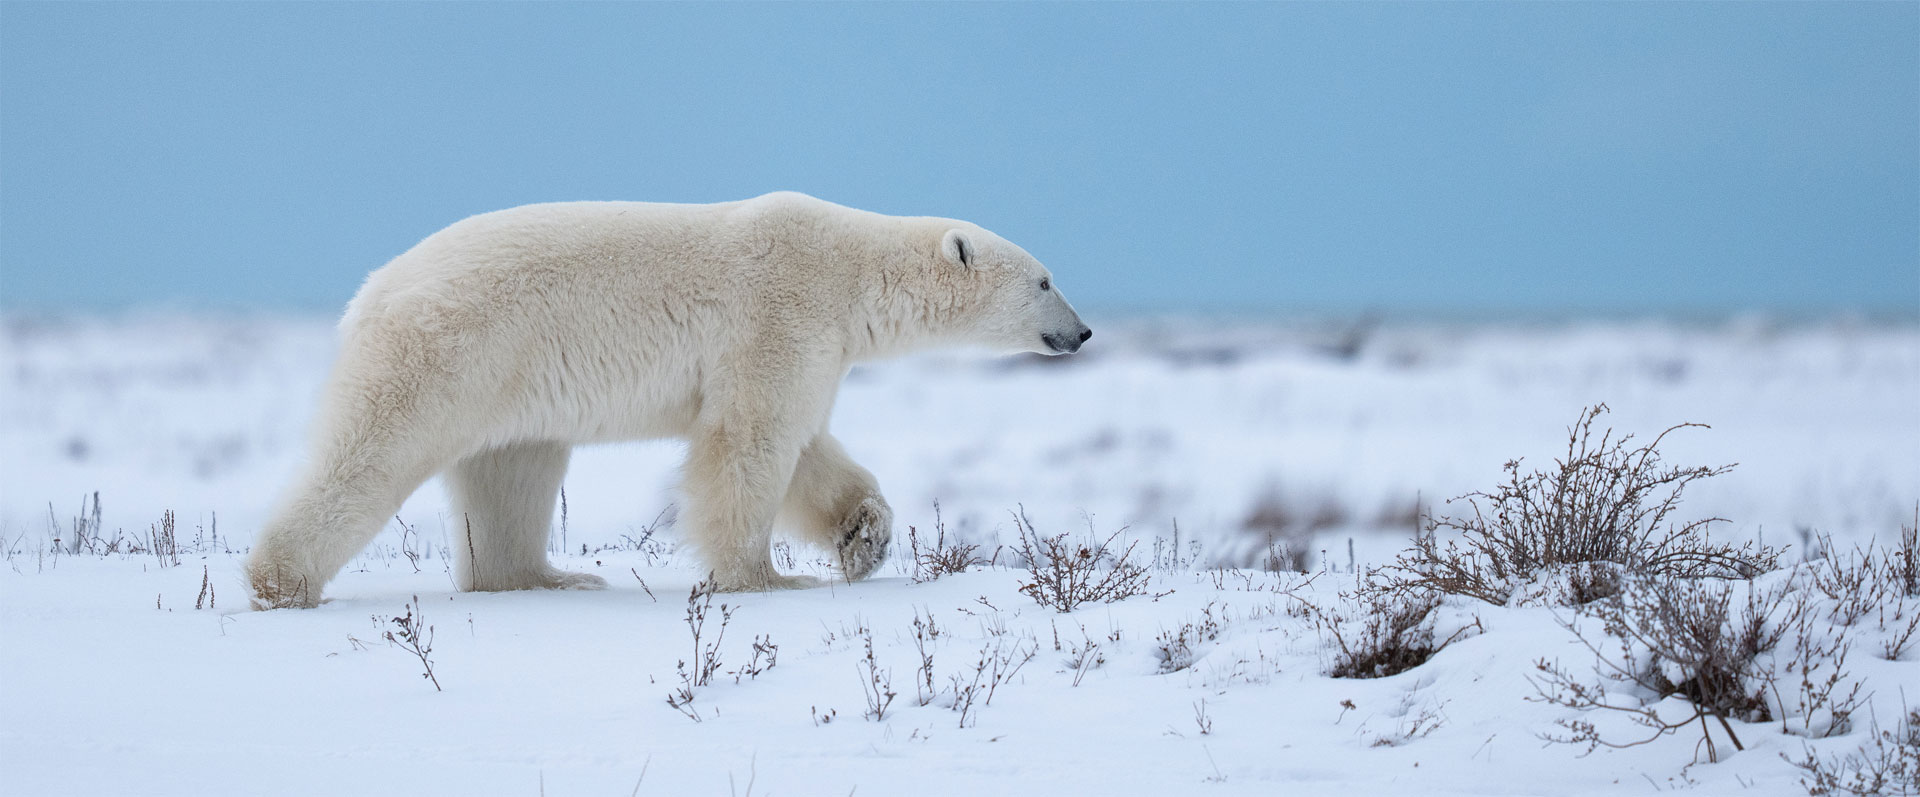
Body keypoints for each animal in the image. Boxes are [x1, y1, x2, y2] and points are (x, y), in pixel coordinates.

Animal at [246, 191, 1091, 609]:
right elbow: (750, 442)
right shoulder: (778, 315)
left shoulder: (813, 347)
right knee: (370, 455)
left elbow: (807, 448)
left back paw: (546, 577)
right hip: (446, 352)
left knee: (511, 472)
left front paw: (865, 536)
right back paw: (280, 583)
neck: (849, 268)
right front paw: (768, 579)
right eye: (1045, 279)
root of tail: (371, 292)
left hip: (507, 380)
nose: (1082, 331)